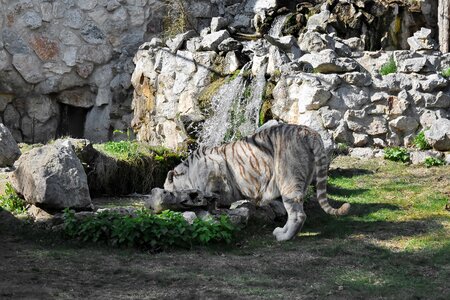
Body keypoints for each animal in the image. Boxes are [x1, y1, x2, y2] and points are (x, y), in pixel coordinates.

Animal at [163, 122, 350, 241]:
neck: (188, 173)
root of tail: (309, 132)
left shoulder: (214, 171)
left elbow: (211, 198)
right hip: (304, 179)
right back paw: (282, 231)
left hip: (288, 180)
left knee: (298, 214)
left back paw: (283, 237)